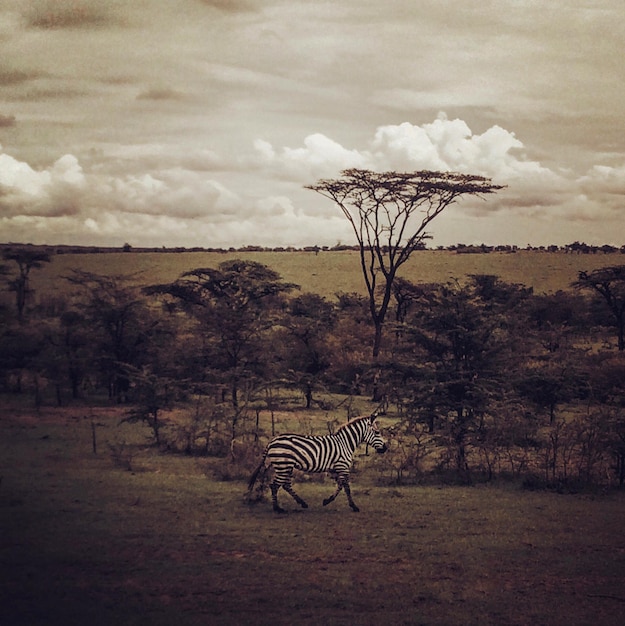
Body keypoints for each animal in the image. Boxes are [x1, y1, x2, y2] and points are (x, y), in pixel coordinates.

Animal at [247, 410, 386, 512]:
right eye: (377, 432)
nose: (385, 448)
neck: (345, 443)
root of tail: (272, 441)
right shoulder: (342, 466)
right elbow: (346, 486)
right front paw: (353, 506)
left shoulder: (335, 468)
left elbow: (340, 485)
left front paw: (327, 501)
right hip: (283, 465)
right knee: (275, 485)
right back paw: (277, 508)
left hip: (286, 466)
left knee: (285, 485)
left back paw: (302, 503)